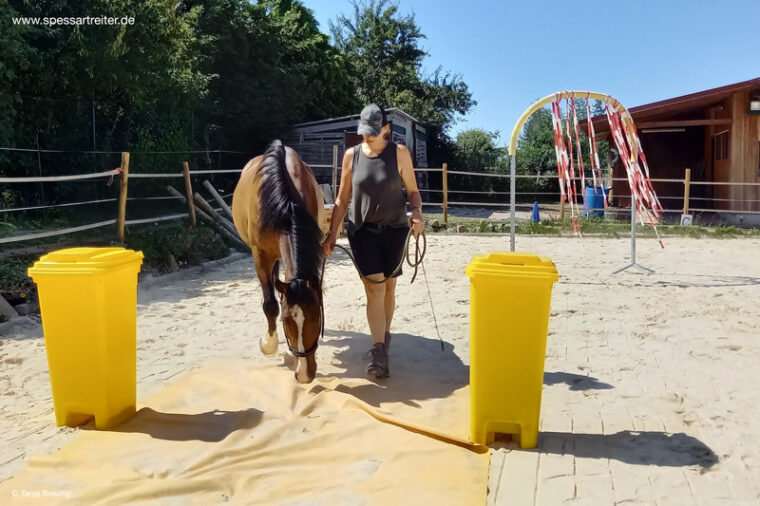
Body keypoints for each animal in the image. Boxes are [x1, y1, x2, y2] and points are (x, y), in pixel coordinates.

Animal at [233, 140, 326, 382]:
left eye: (317, 317)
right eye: (286, 321)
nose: (304, 375)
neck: (285, 207)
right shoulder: (260, 255)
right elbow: (270, 304)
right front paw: (269, 345)